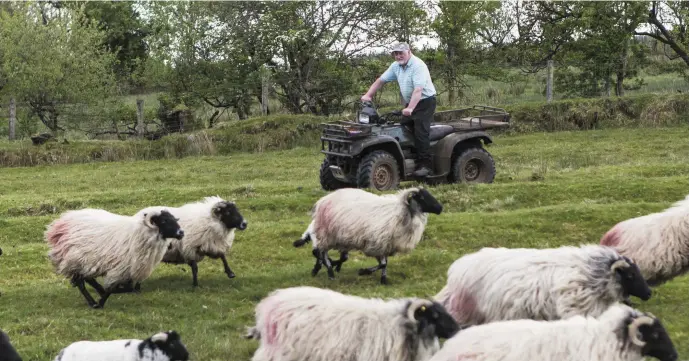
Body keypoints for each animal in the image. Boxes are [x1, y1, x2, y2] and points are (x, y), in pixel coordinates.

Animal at [45, 207, 185, 308]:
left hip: (86, 262)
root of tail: (60, 224)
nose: (181, 233)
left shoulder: (129, 270)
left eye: (174, 220)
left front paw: (104, 295)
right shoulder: (120, 268)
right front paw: (101, 302)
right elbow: (115, 288)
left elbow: (127, 288)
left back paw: (98, 292)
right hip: (75, 259)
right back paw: (92, 302)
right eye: (164, 221)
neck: (142, 233)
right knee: (81, 283)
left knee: (87, 279)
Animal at [290, 186, 440, 284]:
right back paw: (330, 272)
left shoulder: (386, 245)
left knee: (322, 253)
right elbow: (383, 264)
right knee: (321, 253)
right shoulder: (378, 243)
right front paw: (364, 271)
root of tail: (323, 200)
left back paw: (325, 268)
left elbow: (384, 264)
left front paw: (383, 279)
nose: (440, 208)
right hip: (326, 235)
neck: (405, 212)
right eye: (422, 197)